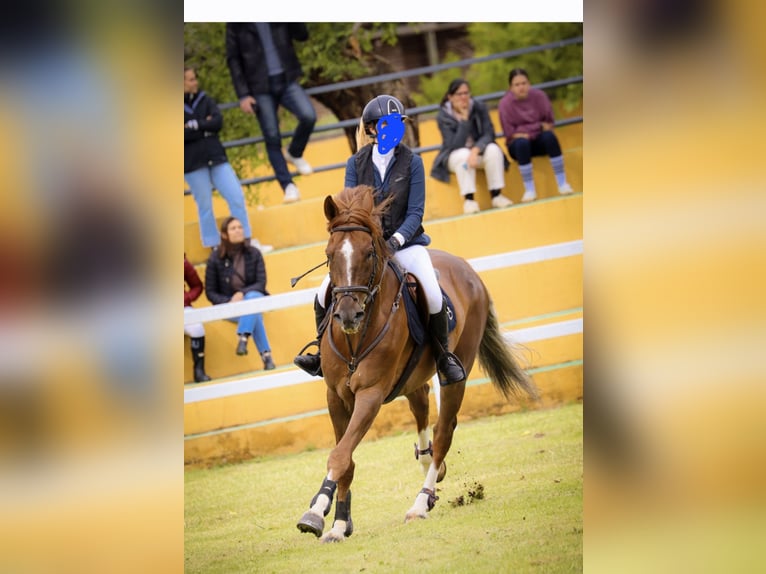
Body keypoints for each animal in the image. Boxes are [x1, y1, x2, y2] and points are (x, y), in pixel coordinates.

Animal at [296, 184, 538, 543]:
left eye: (369, 253)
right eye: (329, 254)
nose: (348, 316)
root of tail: (468, 270)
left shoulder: (370, 395)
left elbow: (340, 455)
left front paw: (315, 513)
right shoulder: (336, 396)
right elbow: (346, 457)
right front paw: (339, 523)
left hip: (455, 376)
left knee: (443, 432)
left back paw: (421, 502)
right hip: (412, 379)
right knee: (422, 407)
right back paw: (427, 470)